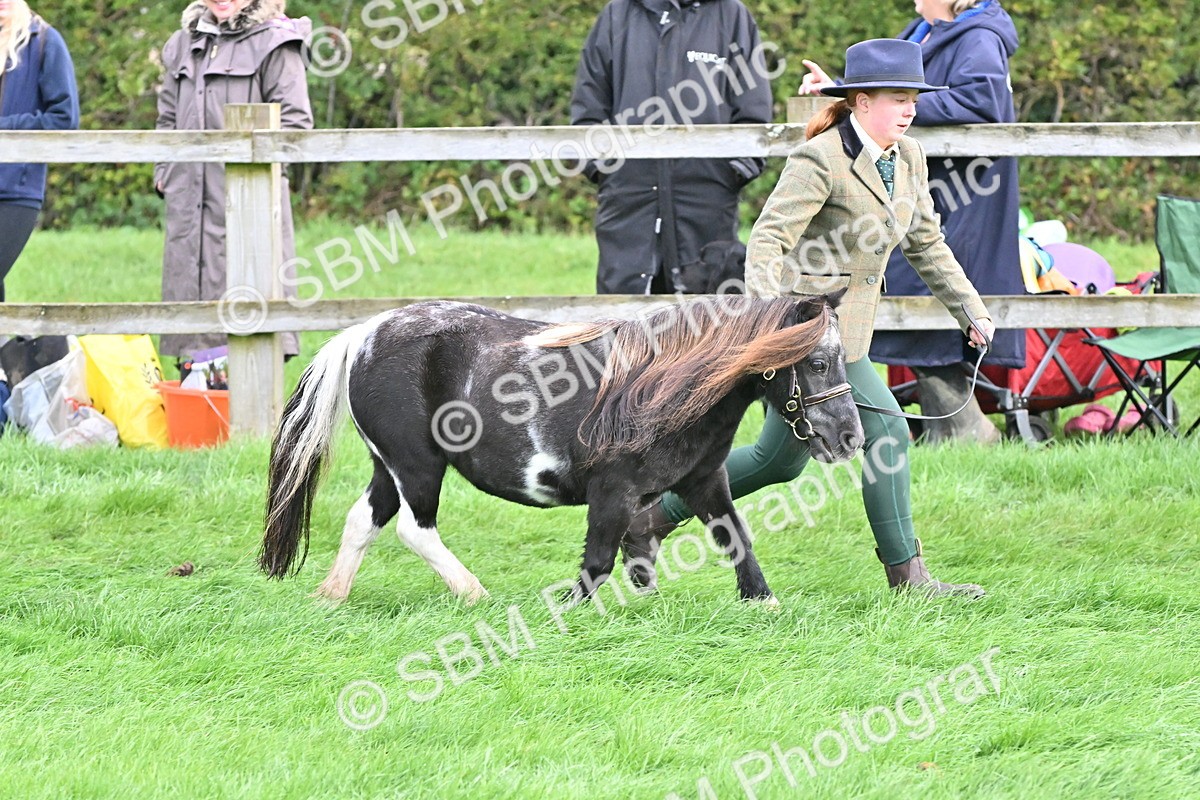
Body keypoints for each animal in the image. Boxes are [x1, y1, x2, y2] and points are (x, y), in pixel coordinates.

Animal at [259, 291, 864, 606]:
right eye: (816, 362)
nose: (851, 438)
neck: (660, 383)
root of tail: (360, 335)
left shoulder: (703, 481)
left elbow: (736, 537)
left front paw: (762, 600)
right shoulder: (612, 489)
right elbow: (597, 561)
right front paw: (572, 611)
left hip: (390, 467)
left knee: (364, 521)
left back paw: (333, 595)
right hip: (418, 466)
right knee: (414, 528)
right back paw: (474, 592)